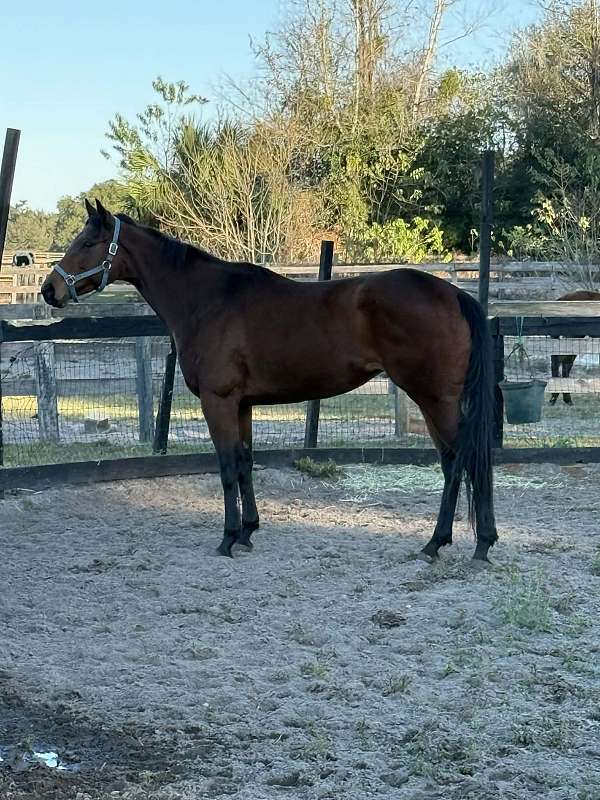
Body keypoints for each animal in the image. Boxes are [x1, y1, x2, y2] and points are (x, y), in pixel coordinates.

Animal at [41, 200, 498, 562]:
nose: (49, 290)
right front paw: (247, 531)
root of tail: (454, 294)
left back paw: (459, 543)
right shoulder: (242, 405)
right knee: (455, 462)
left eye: (87, 244)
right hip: (435, 400)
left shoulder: (218, 401)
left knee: (463, 460)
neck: (207, 300)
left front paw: (227, 538)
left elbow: (227, 466)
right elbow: (245, 463)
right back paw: (456, 543)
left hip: (434, 397)